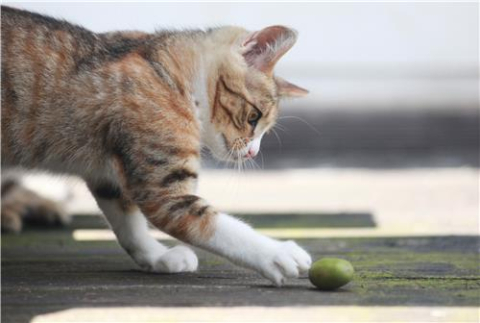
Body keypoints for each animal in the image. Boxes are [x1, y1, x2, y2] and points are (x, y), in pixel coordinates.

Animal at [1, 6, 312, 288]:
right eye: (253, 117)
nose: (252, 152)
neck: (168, 74)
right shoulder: (162, 189)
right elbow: (214, 225)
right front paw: (276, 254)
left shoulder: (109, 175)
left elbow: (128, 222)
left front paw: (156, 256)